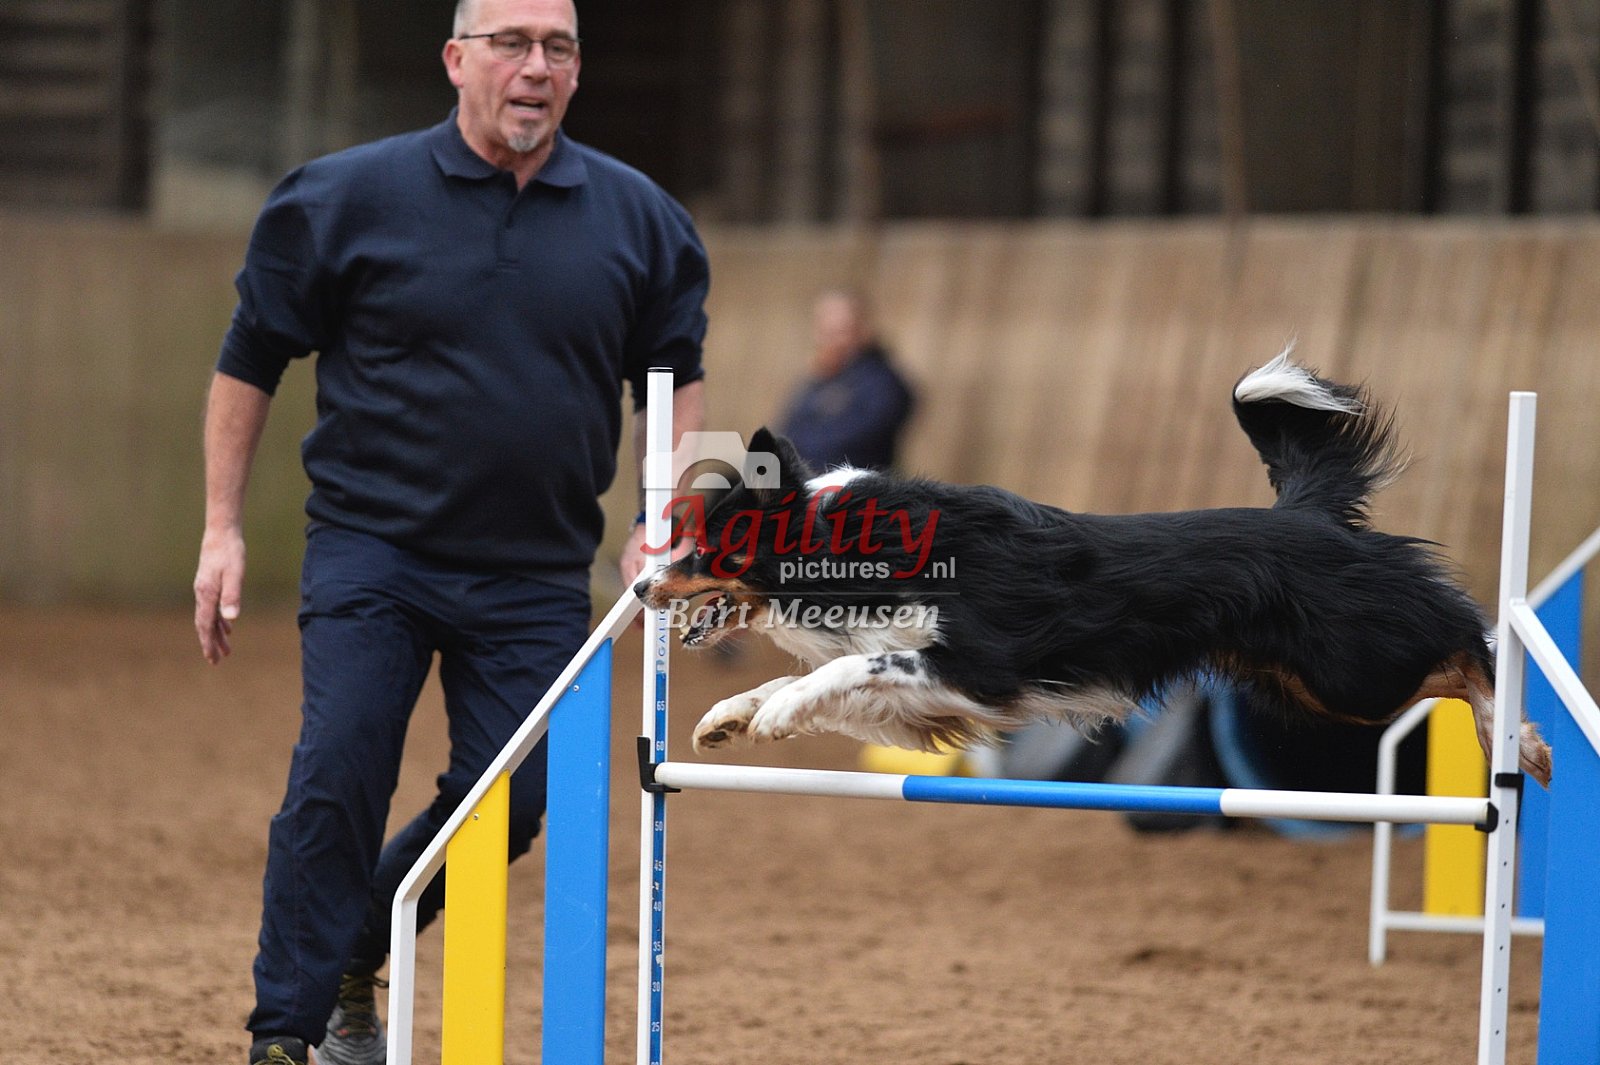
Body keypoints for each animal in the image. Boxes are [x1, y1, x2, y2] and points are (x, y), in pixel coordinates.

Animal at [635, 352, 1552, 787]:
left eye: (705, 544)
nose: (641, 587)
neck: (856, 541)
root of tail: (1307, 512)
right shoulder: (930, 697)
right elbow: (824, 676)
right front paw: (729, 716)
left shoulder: (978, 664)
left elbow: (852, 666)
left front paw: (773, 710)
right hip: (1306, 683)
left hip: (1350, 668)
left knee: (1464, 637)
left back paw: (1520, 740)